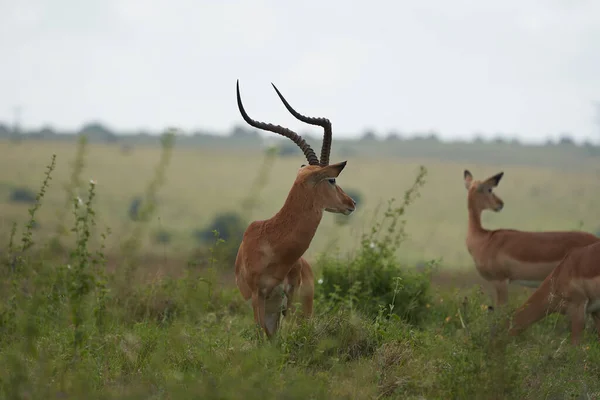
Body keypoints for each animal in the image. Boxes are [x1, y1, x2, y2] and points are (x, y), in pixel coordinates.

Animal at [234, 79, 356, 340]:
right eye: (332, 180)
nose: (351, 203)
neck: (272, 244)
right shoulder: (258, 298)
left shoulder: (288, 297)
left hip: (302, 307)